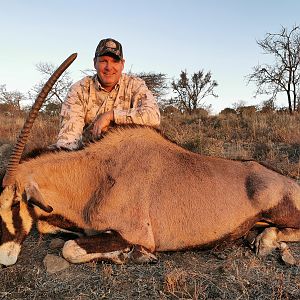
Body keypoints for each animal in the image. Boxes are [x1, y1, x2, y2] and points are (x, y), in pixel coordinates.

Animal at [0, 55, 300, 264]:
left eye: (15, 203)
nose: (5, 258)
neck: (94, 176)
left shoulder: (136, 233)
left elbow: (70, 248)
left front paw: (133, 255)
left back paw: (266, 241)